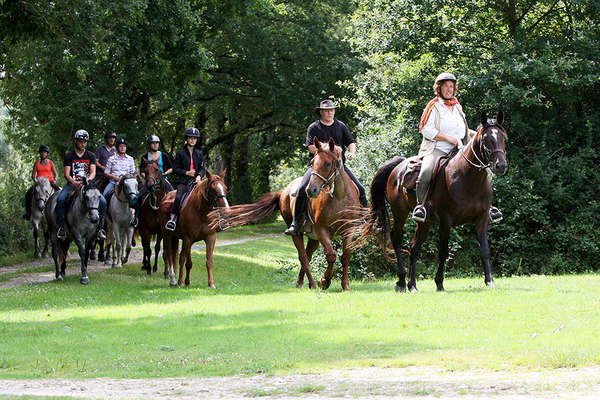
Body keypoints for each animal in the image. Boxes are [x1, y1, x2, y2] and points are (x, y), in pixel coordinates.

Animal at [211, 138, 360, 290]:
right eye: (312, 162)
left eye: (327, 163)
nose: (311, 190)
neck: (339, 197)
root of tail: (283, 192)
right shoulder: (322, 230)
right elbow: (331, 255)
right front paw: (324, 281)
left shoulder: (349, 230)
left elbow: (346, 257)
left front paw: (345, 285)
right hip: (297, 232)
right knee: (303, 257)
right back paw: (312, 284)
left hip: (313, 238)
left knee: (308, 255)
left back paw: (302, 282)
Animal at [354, 111, 508, 292]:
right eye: (485, 139)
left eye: (503, 137)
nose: (501, 166)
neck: (467, 178)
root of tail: (398, 167)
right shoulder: (446, 221)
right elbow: (443, 252)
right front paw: (439, 283)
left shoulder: (482, 218)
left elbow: (484, 250)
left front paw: (489, 281)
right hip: (400, 213)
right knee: (396, 238)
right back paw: (401, 281)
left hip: (424, 221)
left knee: (414, 248)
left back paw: (412, 285)